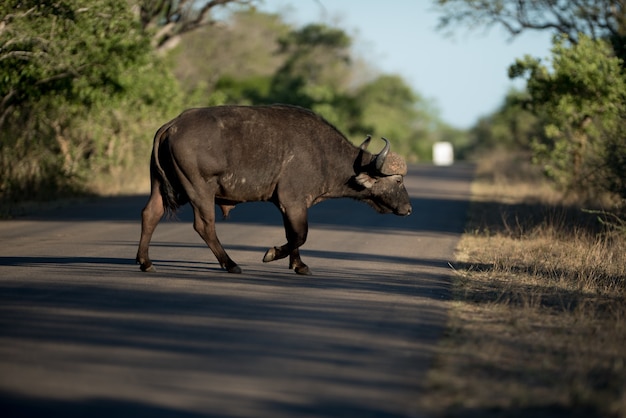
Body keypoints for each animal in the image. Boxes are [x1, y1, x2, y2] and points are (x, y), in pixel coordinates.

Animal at [134, 104, 412, 274]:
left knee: (150, 214)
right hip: (199, 189)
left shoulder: (288, 205)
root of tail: (174, 124)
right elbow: (300, 235)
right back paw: (230, 263)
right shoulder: (293, 201)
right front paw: (271, 254)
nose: (409, 209)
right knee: (204, 226)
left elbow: (293, 234)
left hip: (160, 185)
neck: (324, 154)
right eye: (398, 181)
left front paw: (299, 265)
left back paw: (145, 262)